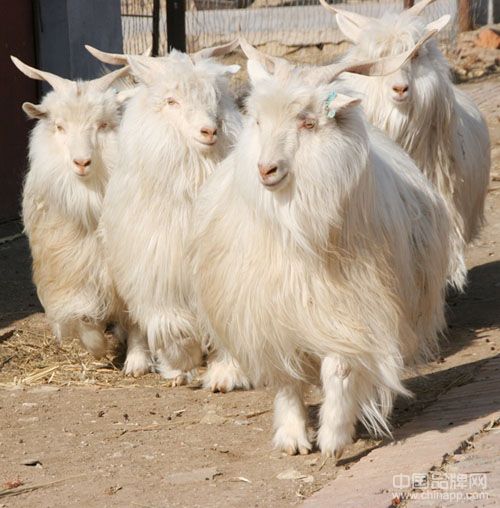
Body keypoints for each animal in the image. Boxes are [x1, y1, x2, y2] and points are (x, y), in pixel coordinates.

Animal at [11, 56, 132, 361]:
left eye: (102, 125)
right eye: (59, 127)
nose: (82, 162)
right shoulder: (70, 273)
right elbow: (84, 320)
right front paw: (98, 347)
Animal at [86, 42, 252, 389]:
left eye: (216, 98)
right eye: (171, 101)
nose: (209, 131)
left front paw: (226, 374)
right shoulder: (157, 271)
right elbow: (171, 325)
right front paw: (179, 366)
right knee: (135, 323)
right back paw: (137, 362)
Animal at [190, 39, 452, 456]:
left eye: (308, 122)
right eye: (257, 121)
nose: (266, 169)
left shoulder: (352, 307)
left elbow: (340, 367)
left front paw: (333, 437)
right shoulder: (271, 311)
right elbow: (286, 375)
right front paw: (292, 437)